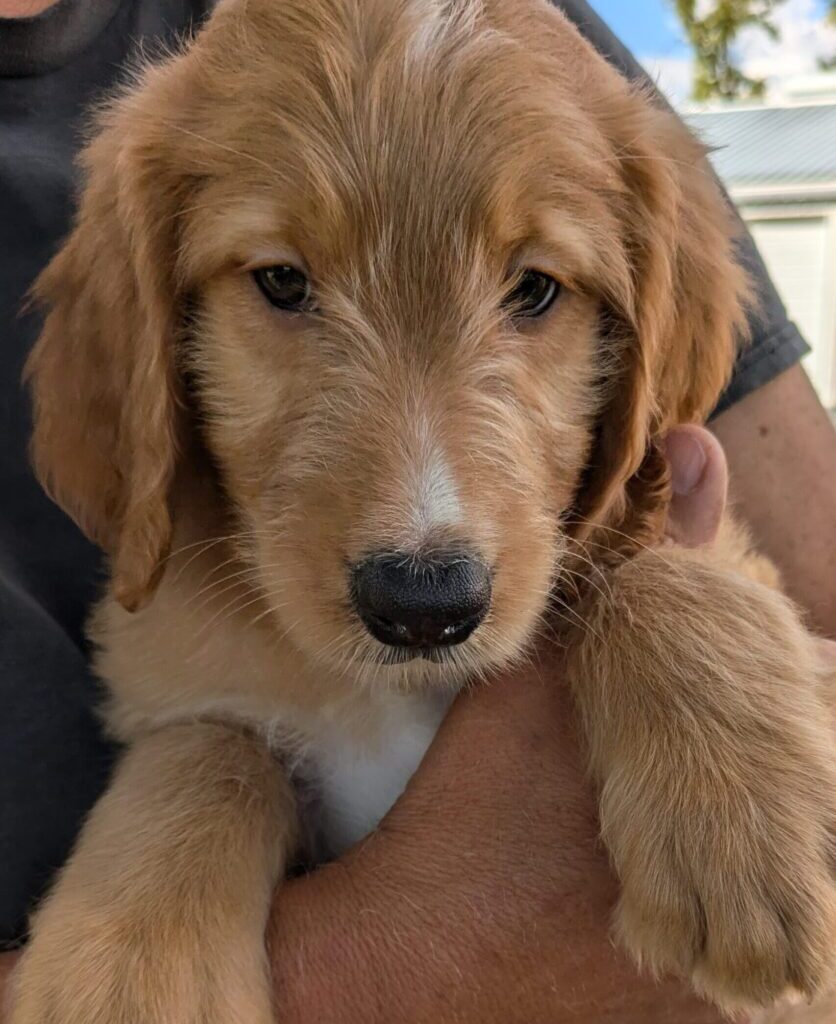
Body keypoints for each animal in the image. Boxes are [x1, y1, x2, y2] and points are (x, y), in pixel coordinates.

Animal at [8, 0, 836, 1019]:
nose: (422, 604)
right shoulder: (178, 685)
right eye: (281, 282)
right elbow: (209, 745)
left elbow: (656, 562)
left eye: (535, 289)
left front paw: (739, 815)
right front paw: (128, 970)